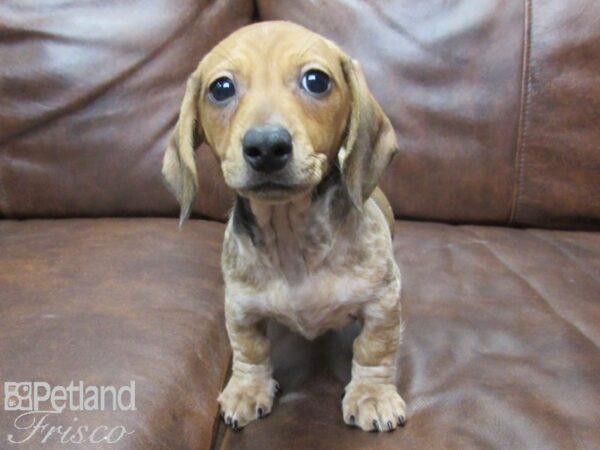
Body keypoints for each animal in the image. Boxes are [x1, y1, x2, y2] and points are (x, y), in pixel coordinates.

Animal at [163, 21, 408, 432]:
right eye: (221, 88)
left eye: (316, 80)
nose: (266, 147)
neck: (292, 237)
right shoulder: (240, 308)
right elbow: (250, 350)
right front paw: (248, 389)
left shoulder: (382, 302)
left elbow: (375, 349)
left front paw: (372, 395)